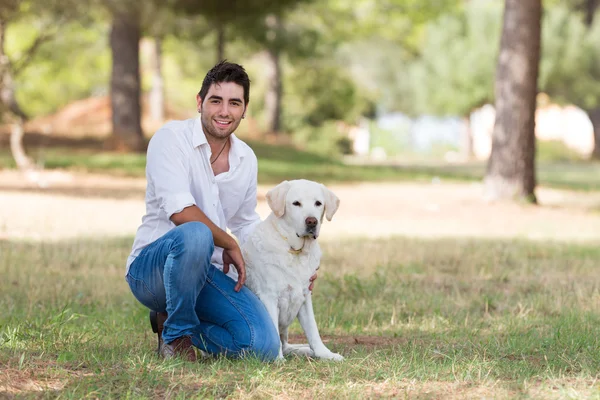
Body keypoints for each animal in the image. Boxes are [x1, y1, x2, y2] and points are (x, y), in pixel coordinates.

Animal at [240, 180, 342, 360]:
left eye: (318, 203)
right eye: (296, 203)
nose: (311, 221)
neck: (295, 251)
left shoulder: (305, 296)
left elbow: (313, 330)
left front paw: (325, 354)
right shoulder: (269, 296)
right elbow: (273, 331)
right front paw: (277, 360)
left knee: (287, 345)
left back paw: (305, 350)